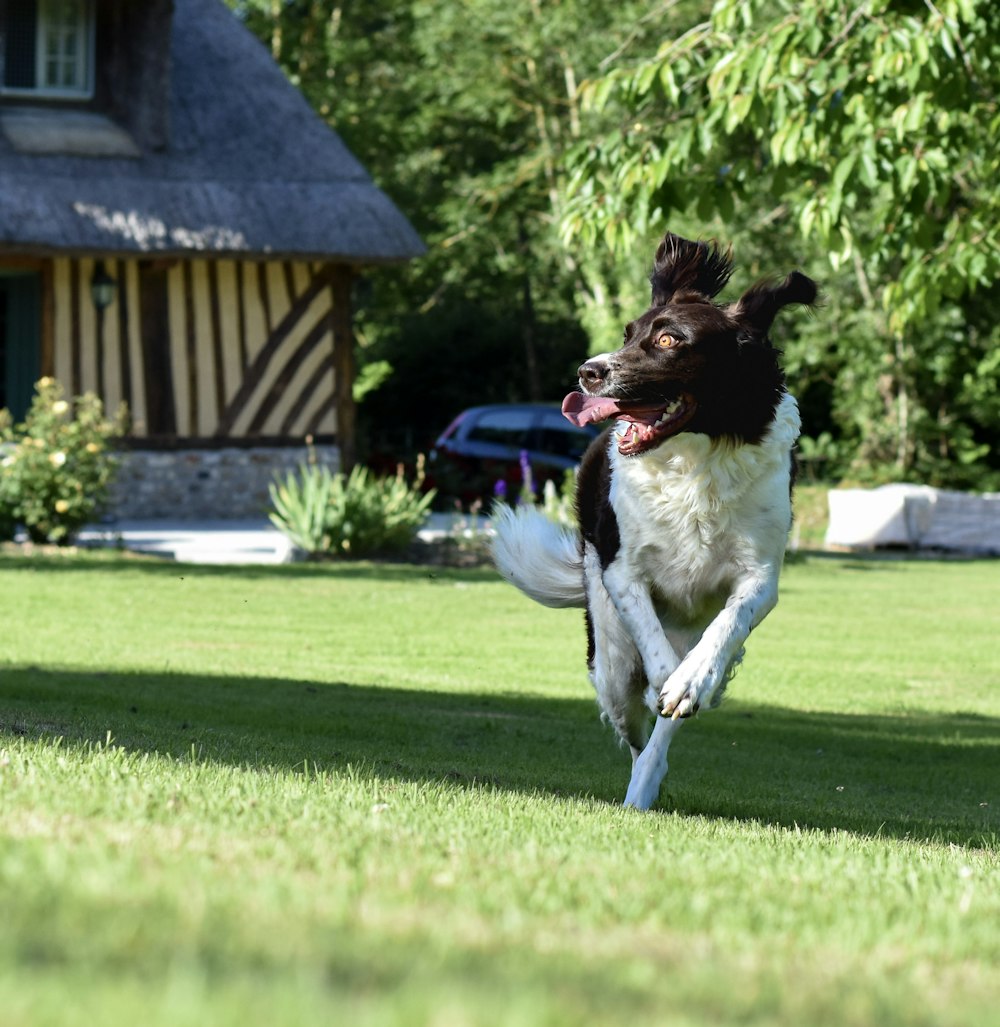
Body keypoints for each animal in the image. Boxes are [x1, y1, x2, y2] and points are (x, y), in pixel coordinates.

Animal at [490, 231, 813, 809]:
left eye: (668, 340)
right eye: (629, 334)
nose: (588, 372)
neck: (696, 461)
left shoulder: (760, 577)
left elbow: (726, 628)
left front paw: (694, 681)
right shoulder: (623, 573)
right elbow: (658, 660)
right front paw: (673, 680)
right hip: (610, 662)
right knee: (632, 715)